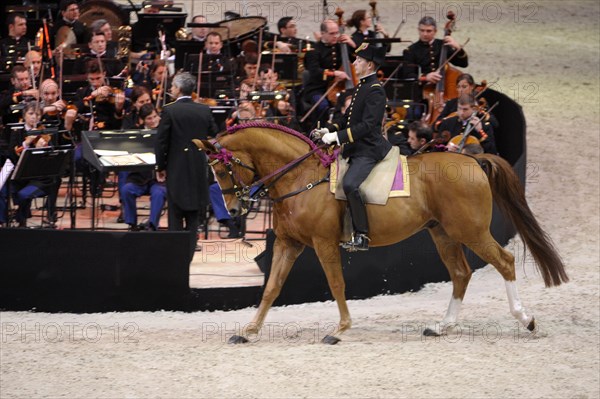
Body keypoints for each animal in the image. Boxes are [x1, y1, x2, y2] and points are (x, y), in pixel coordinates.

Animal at [195, 123, 568, 346]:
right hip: (444, 234)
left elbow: (336, 284)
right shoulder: (289, 244)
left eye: (224, 168)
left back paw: (527, 319)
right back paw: (442, 326)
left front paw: (340, 329)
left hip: (471, 231)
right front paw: (249, 331)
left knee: (504, 262)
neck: (301, 177)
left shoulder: (323, 244)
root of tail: (472, 161)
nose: (233, 211)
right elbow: (271, 288)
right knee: (461, 273)